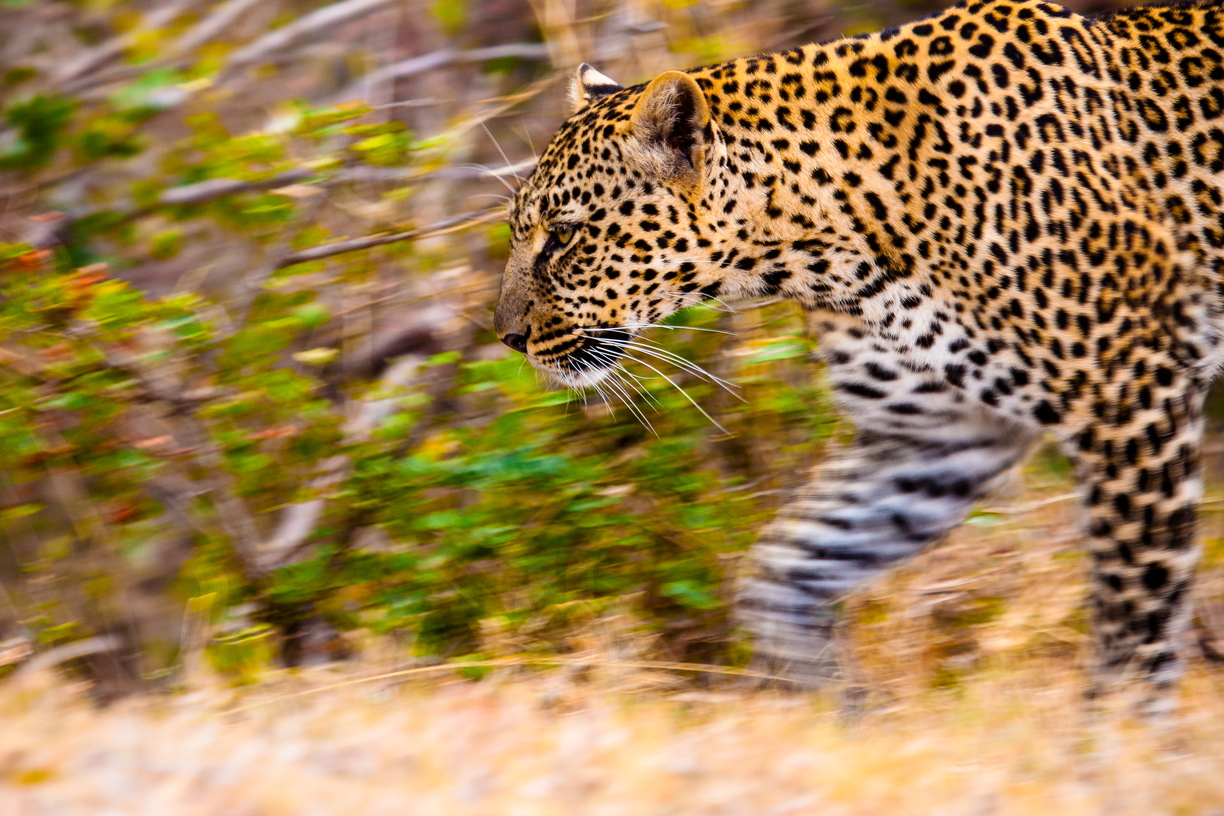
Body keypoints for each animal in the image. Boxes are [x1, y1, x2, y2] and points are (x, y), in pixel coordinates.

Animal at [493, 0, 1224, 701]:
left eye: (563, 236)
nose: (508, 337)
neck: (833, 254)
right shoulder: (938, 434)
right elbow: (787, 569)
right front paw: (834, 701)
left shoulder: (1130, 395)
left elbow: (1134, 619)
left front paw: (1118, 738)